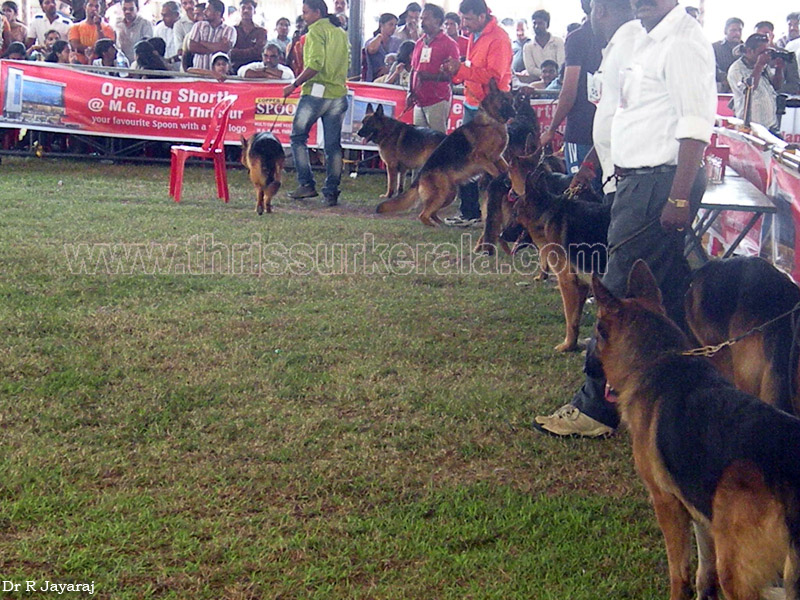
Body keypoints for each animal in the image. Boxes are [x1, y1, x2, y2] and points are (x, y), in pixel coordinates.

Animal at [374, 78, 512, 226]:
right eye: (505, 101)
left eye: (511, 100)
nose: (515, 111)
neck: (492, 121)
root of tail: (420, 176)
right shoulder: (481, 157)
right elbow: (495, 170)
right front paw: (501, 178)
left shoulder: (497, 157)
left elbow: (505, 167)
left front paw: (508, 176)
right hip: (441, 194)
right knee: (423, 214)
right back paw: (433, 225)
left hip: (449, 194)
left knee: (432, 213)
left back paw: (441, 223)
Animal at [512, 163, 608, 352]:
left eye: (514, 213)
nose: (500, 234)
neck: (546, 214)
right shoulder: (582, 284)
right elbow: (576, 318)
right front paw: (573, 344)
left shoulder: (567, 282)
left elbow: (569, 318)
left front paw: (567, 346)